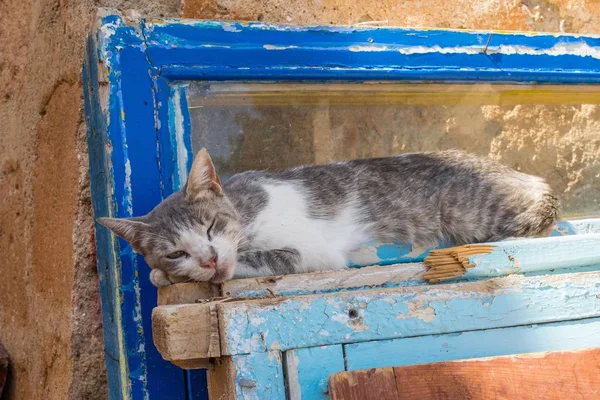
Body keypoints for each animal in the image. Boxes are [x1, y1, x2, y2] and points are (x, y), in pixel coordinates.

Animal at [96, 148, 560, 286]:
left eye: (210, 226)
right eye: (175, 251)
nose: (208, 258)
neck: (245, 212)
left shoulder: (311, 253)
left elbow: (255, 261)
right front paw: (167, 274)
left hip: (469, 213)